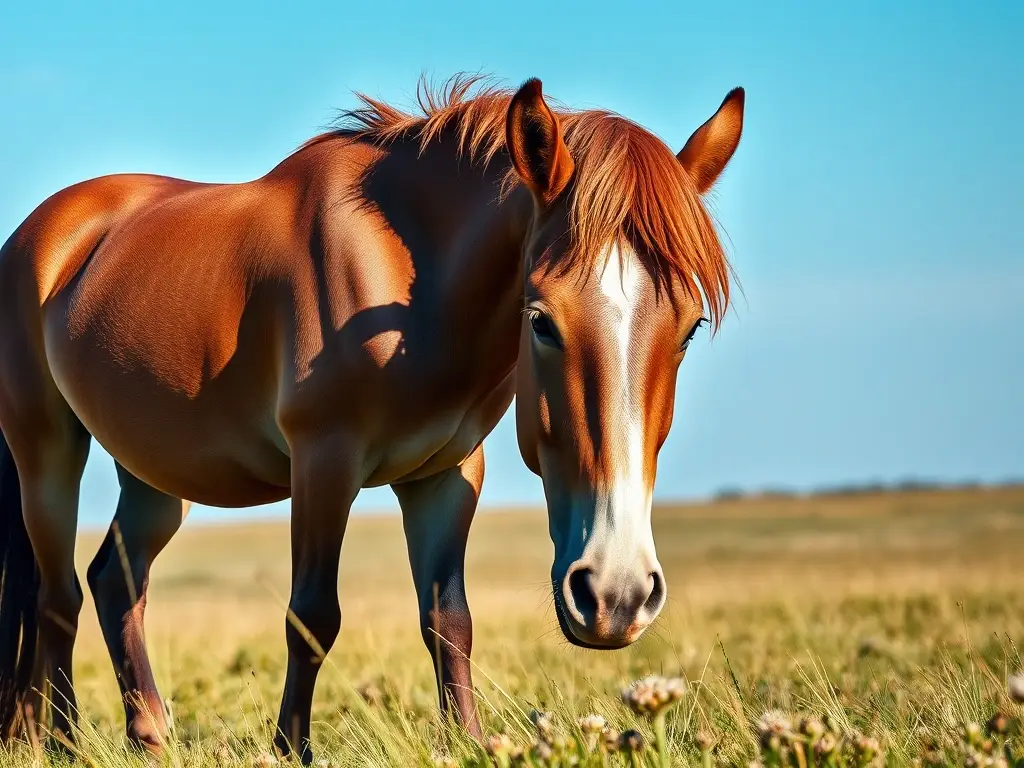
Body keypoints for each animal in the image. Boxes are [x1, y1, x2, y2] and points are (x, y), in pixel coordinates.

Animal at [0, 74, 743, 762]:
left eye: (687, 328)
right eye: (541, 320)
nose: (616, 595)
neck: (414, 280)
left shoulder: (446, 475)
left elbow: (449, 619)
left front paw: (466, 742)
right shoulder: (323, 462)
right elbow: (311, 616)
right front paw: (290, 749)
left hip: (156, 471)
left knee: (113, 582)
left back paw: (148, 735)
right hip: (47, 450)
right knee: (57, 595)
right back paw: (60, 742)